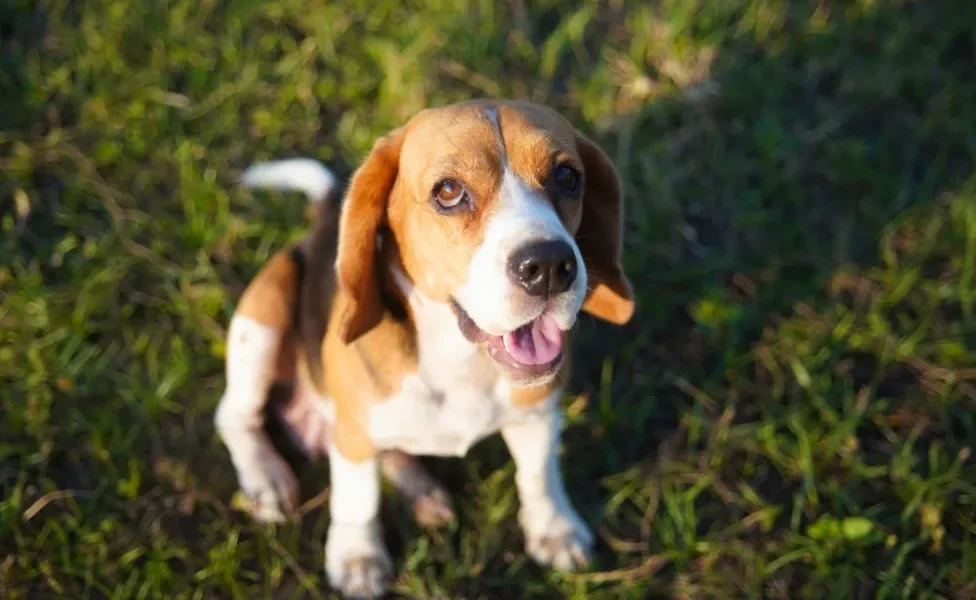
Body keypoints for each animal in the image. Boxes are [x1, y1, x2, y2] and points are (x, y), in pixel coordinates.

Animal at [214, 98, 632, 596]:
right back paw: (267, 478)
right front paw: (357, 558)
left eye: (567, 176)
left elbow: (538, 475)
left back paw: (423, 492)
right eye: (448, 191)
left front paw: (555, 530)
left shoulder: (537, 414)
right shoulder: (352, 435)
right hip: (266, 310)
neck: (459, 359)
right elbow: (357, 500)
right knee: (235, 415)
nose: (549, 266)